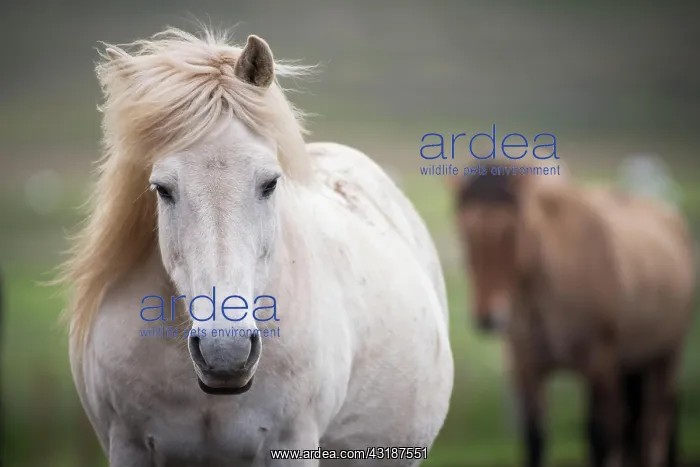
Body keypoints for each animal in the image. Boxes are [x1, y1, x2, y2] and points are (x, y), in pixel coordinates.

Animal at [448, 163, 695, 467]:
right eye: (463, 233)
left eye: (512, 231)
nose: (488, 318)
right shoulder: (527, 368)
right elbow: (535, 438)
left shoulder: (598, 366)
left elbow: (598, 438)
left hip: (667, 356)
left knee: (655, 423)